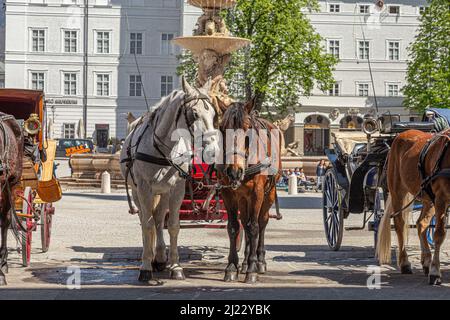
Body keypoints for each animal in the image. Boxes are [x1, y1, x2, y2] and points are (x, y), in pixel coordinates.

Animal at [118, 77, 219, 282]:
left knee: (158, 219)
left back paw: (159, 256)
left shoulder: (176, 189)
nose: (213, 151)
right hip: (137, 191)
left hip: (163, 192)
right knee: (146, 220)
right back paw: (149, 256)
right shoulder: (144, 189)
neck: (163, 150)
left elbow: (172, 226)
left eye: (213, 114)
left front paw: (175, 266)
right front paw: (145, 266)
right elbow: (147, 225)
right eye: (194, 114)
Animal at [218, 99, 282, 284]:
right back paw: (245, 262)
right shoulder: (229, 194)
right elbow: (234, 227)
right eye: (222, 128)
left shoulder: (257, 193)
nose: (233, 171)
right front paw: (232, 266)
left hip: (269, 194)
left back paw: (259, 261)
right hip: (242, 198)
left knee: (261, 222)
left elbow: (254, 228)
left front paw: (252, 269)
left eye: (247, 129)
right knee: (244, 222)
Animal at [376, 129, 450, 284]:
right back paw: (405, 263)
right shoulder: (441, 198)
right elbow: (439, 234)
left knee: (421, 223)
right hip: (398, 191)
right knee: (399, 223)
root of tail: (403, 133)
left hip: (428, 198)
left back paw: (426, 262)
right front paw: (435, 272)